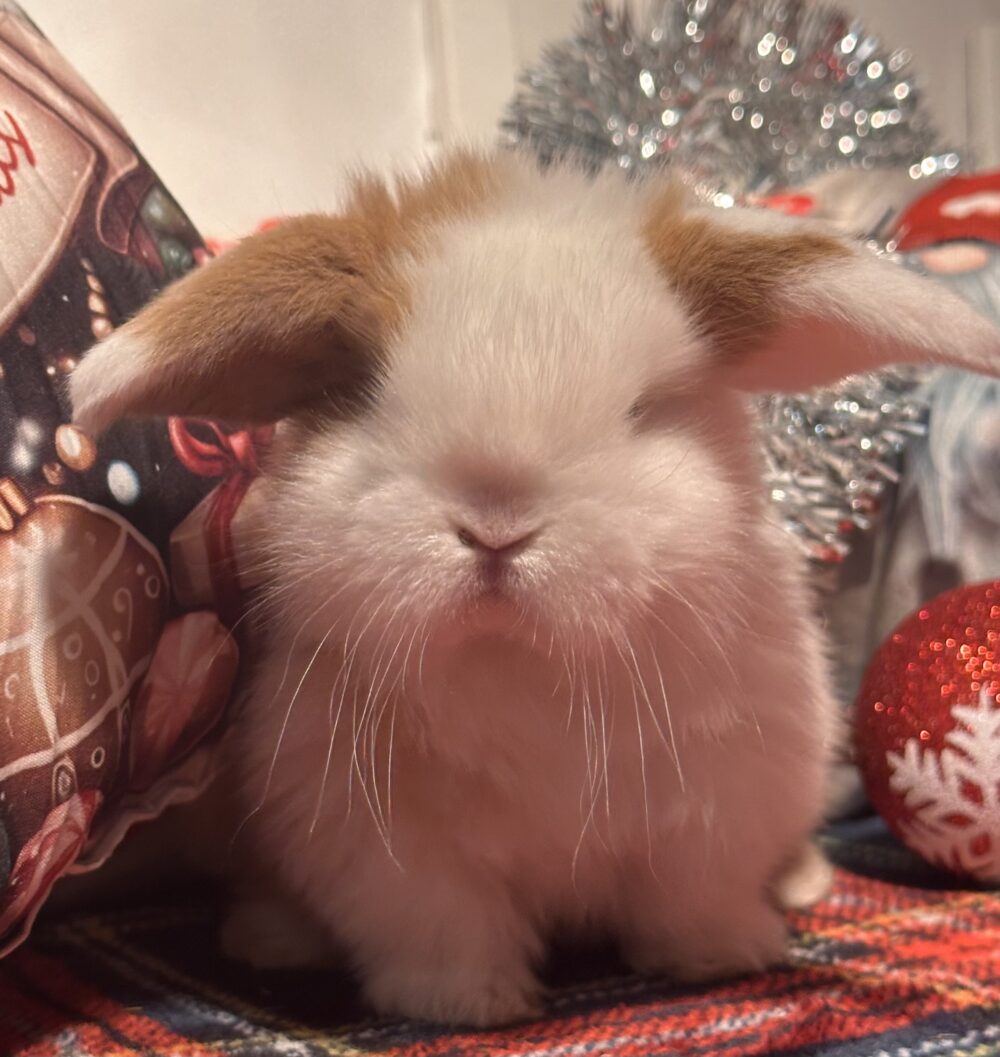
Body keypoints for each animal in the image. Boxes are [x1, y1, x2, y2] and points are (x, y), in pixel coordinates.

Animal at [69, 150, 1000, 1027]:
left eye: (646, 409)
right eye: (366, 389)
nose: (496, 524)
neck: (524, 666)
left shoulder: (714, 812)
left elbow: (693, 903)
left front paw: (725, 959)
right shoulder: (389, 849)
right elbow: (442, 929)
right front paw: (466, 1005)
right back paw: (270, 939)